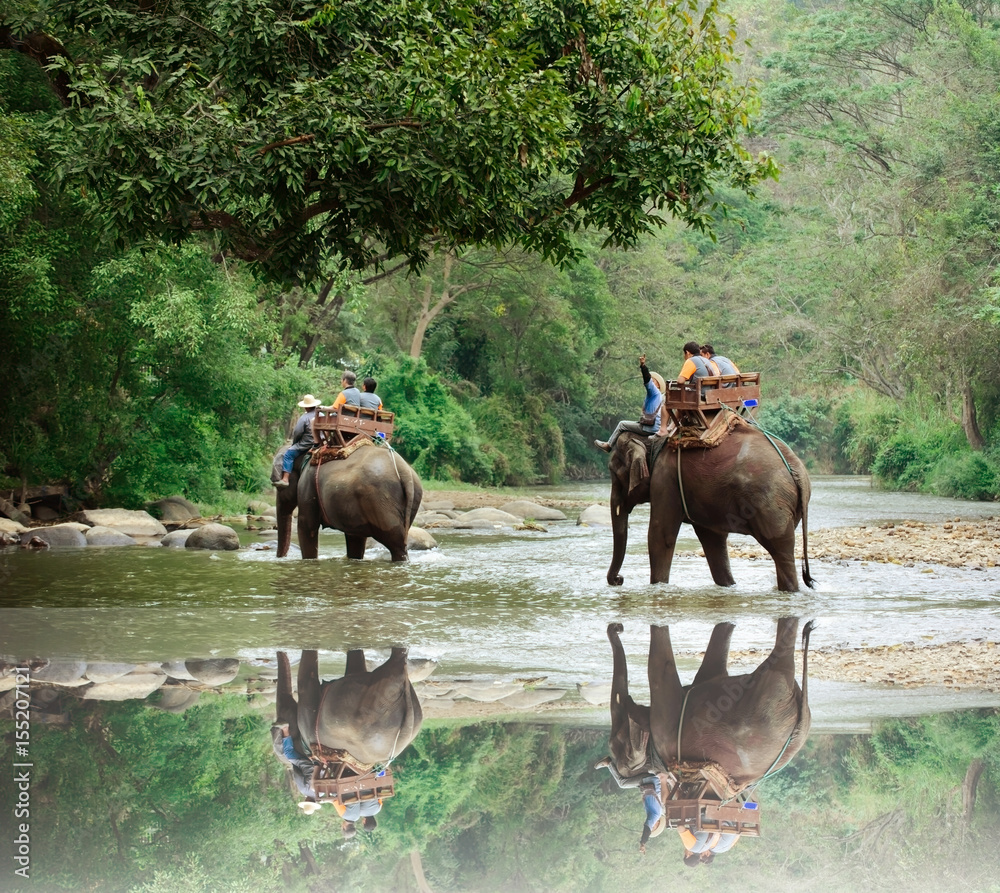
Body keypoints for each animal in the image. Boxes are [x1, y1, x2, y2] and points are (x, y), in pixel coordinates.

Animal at [276, 444, 424, 560]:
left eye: (278, 485)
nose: (280, 558)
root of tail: (404, 471)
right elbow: (355, 538)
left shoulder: (307, 485)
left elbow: (307, 526)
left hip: (380, 500)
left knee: (396, 543)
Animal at [608, 426, 812, 592]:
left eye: (612, 471)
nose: (619, 579)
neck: (651, 440)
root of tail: (797, 469)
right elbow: (713, 540)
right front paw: (729, 586)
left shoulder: (665, 479)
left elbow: (661, 536)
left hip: (770, 505)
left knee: (781, 551)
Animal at [608, 616, 812, 792]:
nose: (618, 626)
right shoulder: (664, 728)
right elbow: (663, 668)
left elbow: (712, 662)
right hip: (766, 703)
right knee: (780, 657)